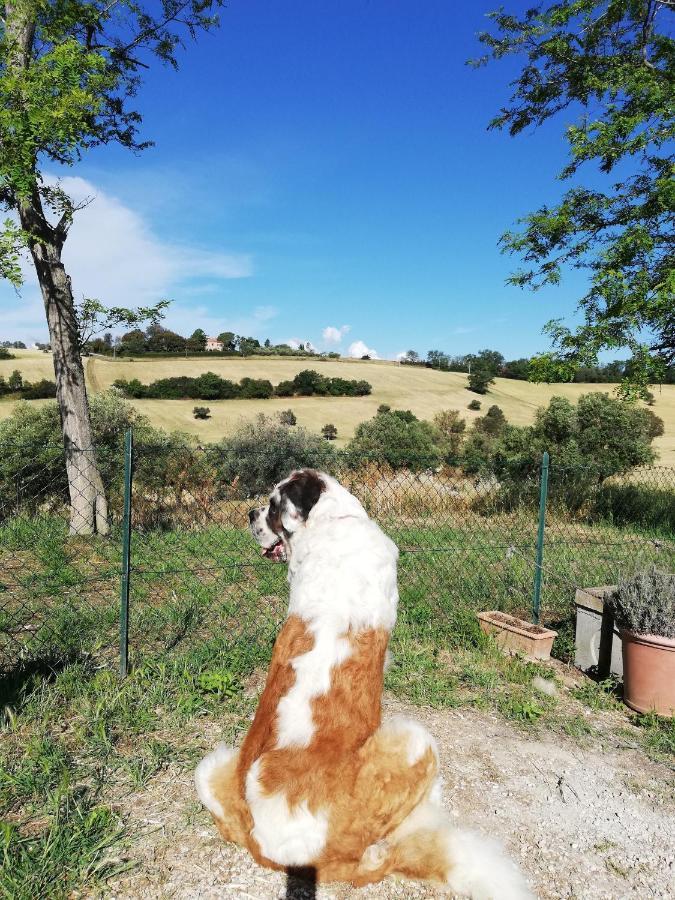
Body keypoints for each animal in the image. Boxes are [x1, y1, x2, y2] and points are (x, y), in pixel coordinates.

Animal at [195, 468, 532, 896]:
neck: (332, 522)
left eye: (271, 506)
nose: (250, 513)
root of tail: (269, 849)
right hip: (416, 741)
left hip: (212, 766)